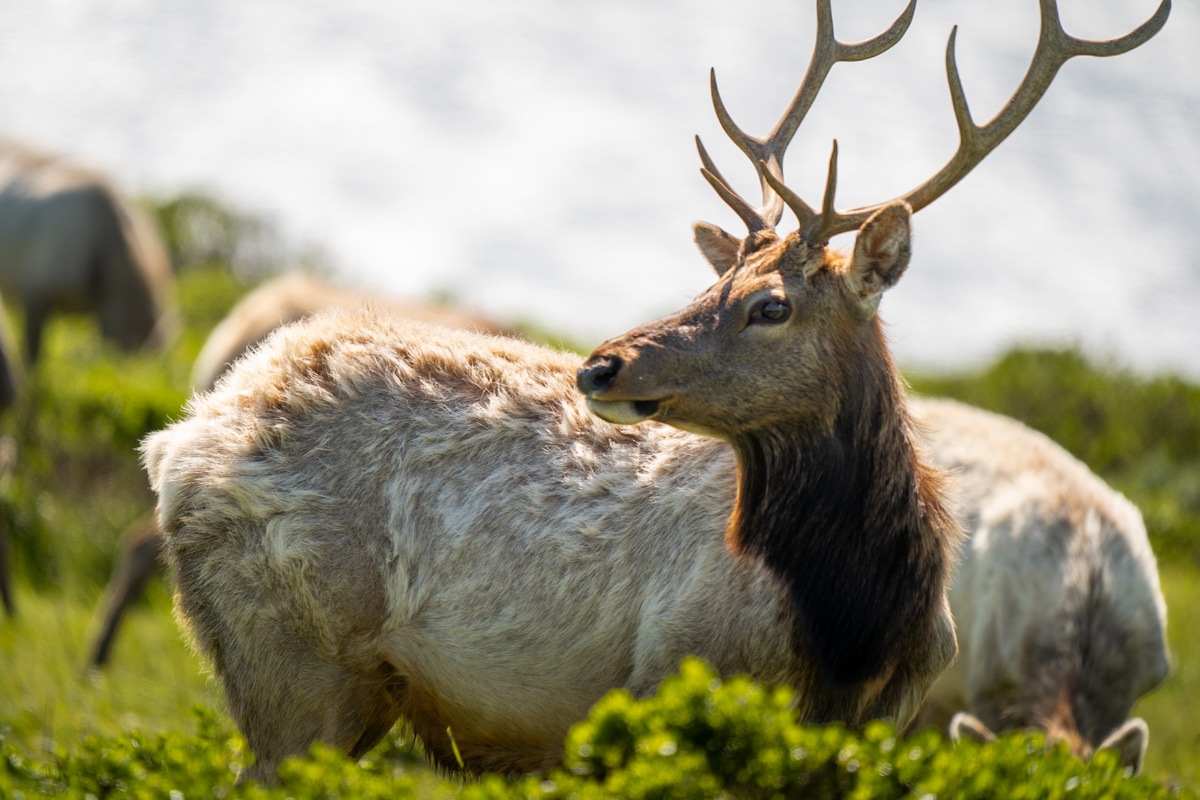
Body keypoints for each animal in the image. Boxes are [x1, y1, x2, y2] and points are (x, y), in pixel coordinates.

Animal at [141, 0, 1168, 783]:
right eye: (714, 283)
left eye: (769, 305)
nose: (601, 365)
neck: (854, 629)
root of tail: (182, 436)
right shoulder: (674, 679)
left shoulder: (885, 724)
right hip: (291, 666)